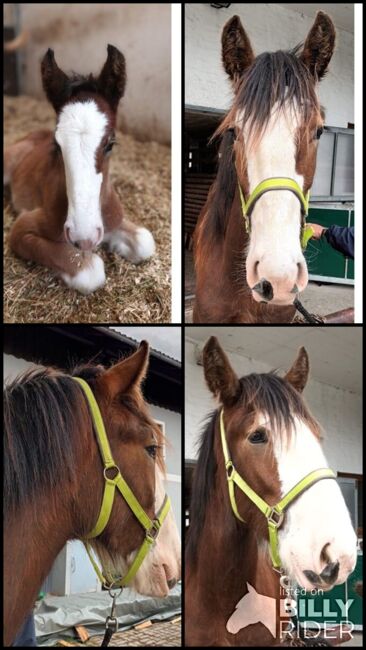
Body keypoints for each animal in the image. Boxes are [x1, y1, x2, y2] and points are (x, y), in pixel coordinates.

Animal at [4, 42, 156, 292]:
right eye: (57, 145)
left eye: (110, 144)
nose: (84, 237)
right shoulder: (22, 229)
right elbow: (90, 270)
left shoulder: (114, 219)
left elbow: (145, 242)